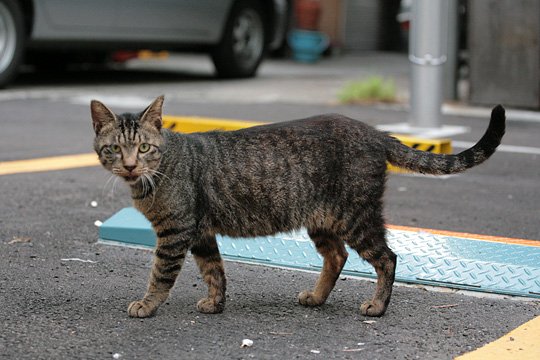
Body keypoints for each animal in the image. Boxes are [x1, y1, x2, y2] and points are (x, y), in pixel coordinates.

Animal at [89, 96, 506, 318]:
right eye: (115, 149)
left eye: (143, 147)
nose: (130, 165)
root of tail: (374, 131)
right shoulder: (202, 233)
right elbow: (214, 271)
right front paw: (216, 303)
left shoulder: (176, 231)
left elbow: (160, 275)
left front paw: (146, 305)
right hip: (324, 220)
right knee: (337, 257)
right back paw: (317, 297)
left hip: (356, 216)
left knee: (387, 258)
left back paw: (377, 306)